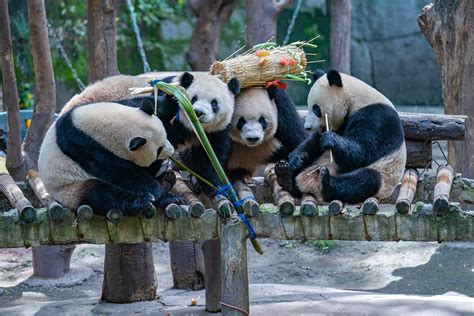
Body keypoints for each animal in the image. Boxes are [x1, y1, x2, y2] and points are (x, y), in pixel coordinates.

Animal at [38, 102, 180, 217]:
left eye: (166, 136)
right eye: (159, 149)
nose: (172, 151)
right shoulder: (83, 145)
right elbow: (125, 174)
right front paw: (167, 197)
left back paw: (166, 179)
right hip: (69, 190)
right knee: (99, 193)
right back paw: (143, 200)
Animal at [276, 69, 406, 204]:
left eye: (316, 109)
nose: (307, 127)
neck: (355, 100)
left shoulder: (377, 117)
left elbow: (362, 153)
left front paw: (329, 139)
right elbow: (313, 143)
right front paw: (296, 159)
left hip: (384, 176)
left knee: (363, 181)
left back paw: (326, 183)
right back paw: (285, 175)